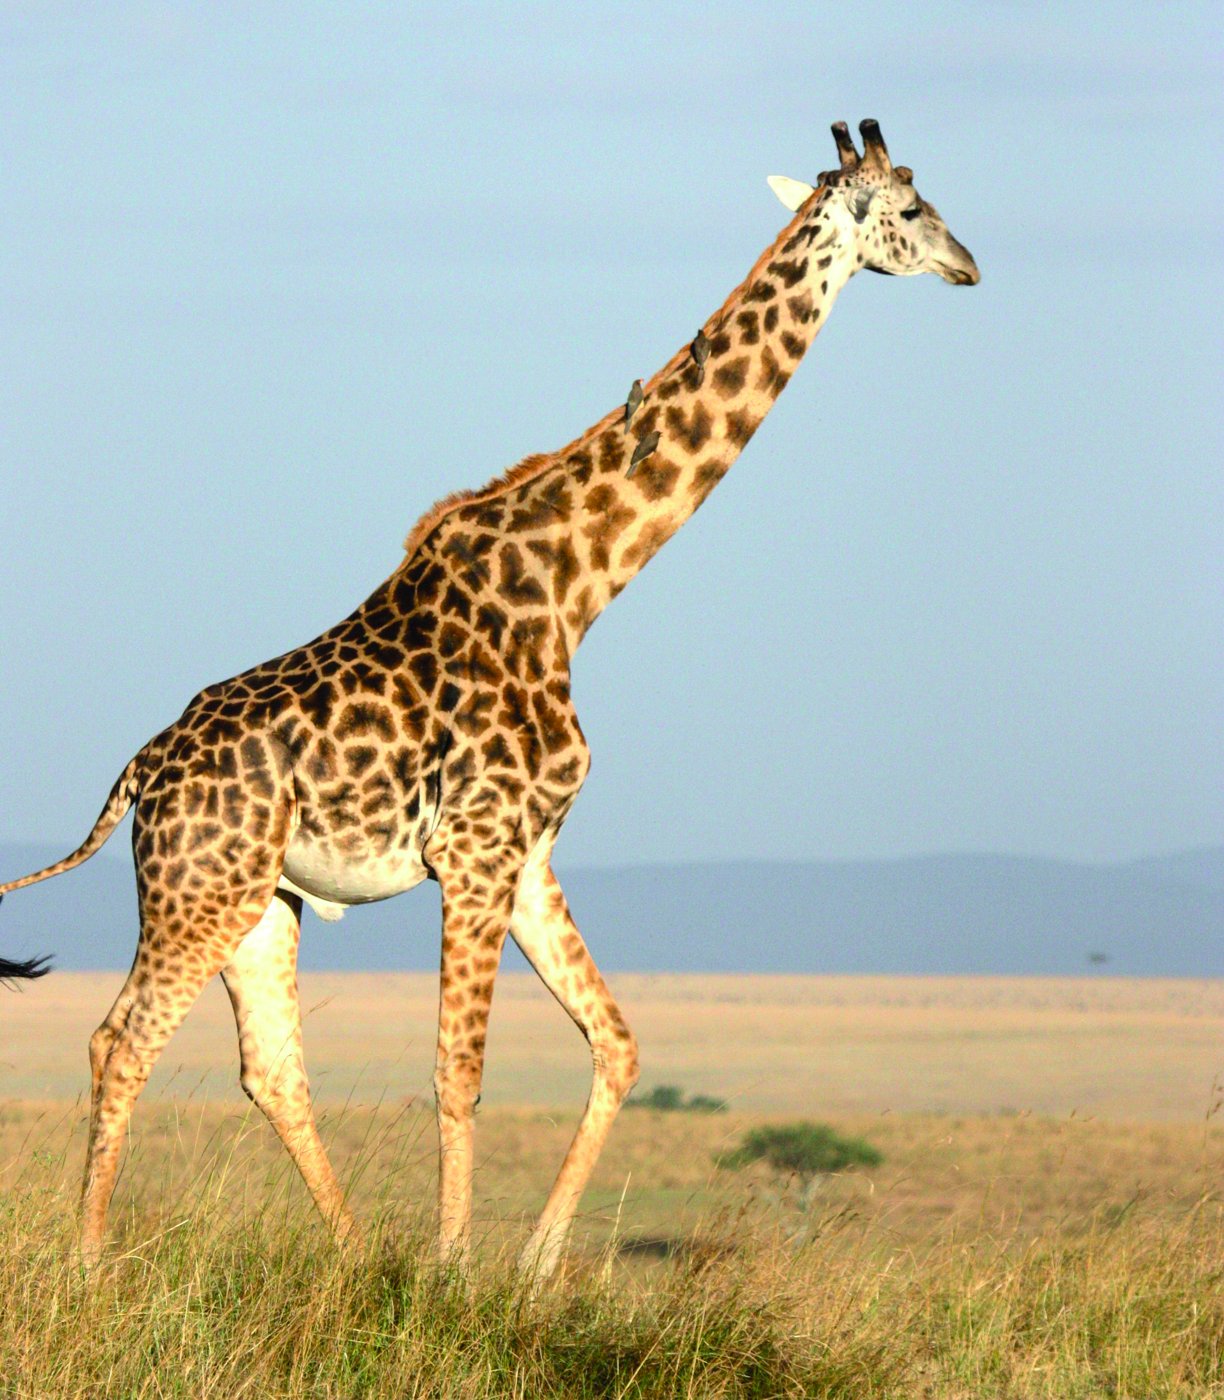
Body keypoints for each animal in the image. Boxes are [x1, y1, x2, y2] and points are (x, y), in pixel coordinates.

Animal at [1, 121, 978, 1280]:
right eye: (911, 211)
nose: (970, 265)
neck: (576, 587)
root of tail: (138, 774)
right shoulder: (472, 848)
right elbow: (457, 1073)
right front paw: (454, 1269)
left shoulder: (529, 850)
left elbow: (617, 1043)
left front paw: (534, 1266)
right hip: (198, 891)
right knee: (120, 1040)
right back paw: (89, 1262)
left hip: (261, 901)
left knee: (269, 1066)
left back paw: (353, 1252)